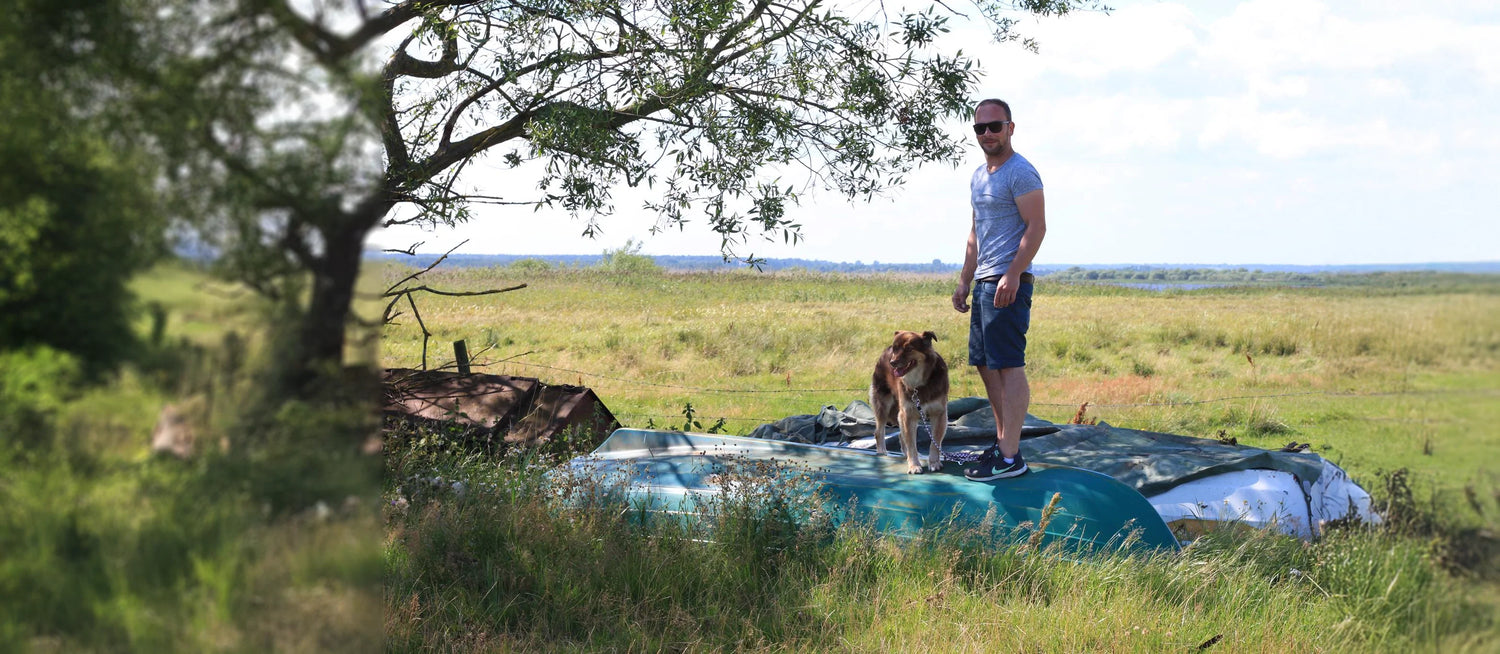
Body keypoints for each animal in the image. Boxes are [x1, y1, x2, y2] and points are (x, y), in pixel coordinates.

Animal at [870, 330, 948, 474]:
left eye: (908, 349)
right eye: (895, 349)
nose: (892, 362)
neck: (919, 381)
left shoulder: (939, 414)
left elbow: (935, 443)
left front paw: (934, 462)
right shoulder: (908, 414)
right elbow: (911, 444)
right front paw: (914, 465)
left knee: (901, 436)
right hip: (883, 404)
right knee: (879, 432)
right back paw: (882, 452)